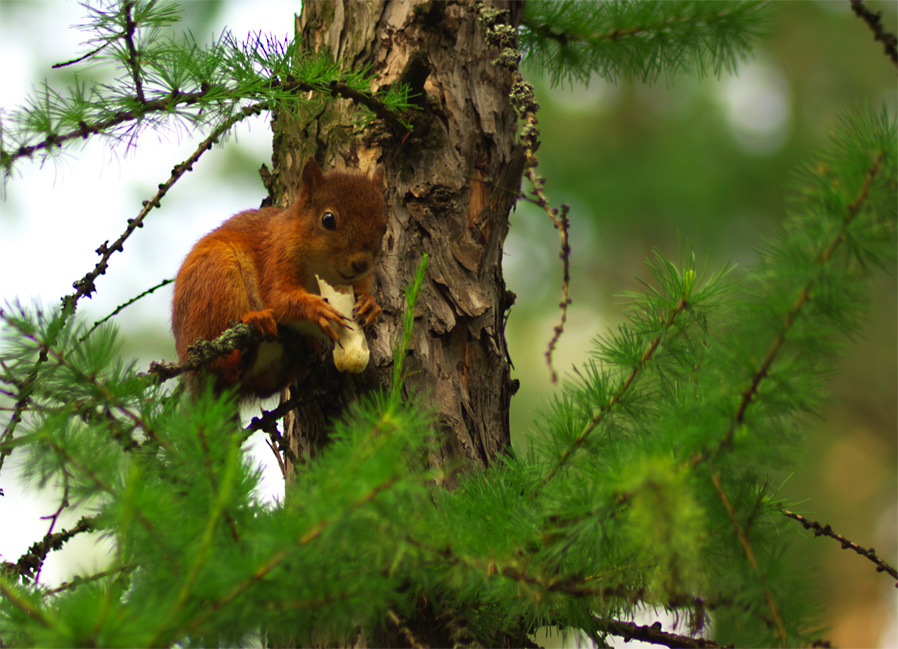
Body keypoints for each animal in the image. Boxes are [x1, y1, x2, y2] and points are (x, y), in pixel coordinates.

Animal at [173, 157, 386, 398]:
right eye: (328, 219)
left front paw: (370, 304)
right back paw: (256, 324)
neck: (323, 269)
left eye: (384, 227)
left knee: (257, 384)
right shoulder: (277, 257)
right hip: (216, 278)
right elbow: (278, 297)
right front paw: (314, 308)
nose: (361, 264)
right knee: (223, 369)